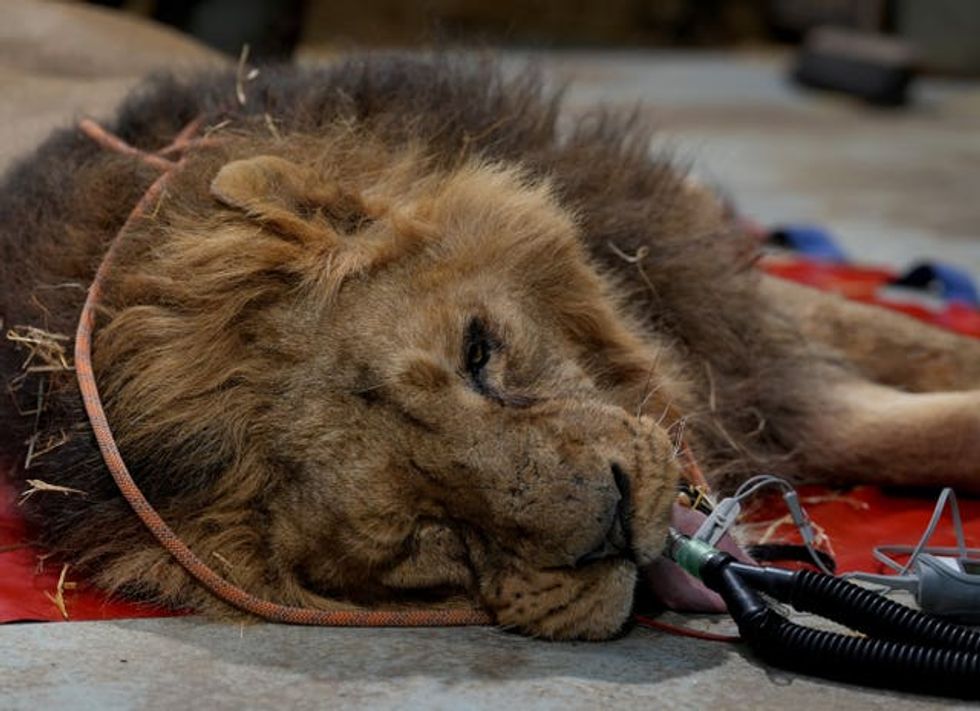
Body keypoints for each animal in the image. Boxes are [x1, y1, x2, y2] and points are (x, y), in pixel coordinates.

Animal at [1, 56, 978, 640]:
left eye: (479, 353)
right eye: (425, 539)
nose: (615, 522)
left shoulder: (718, 292)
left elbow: (898, 355)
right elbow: (891, 429)